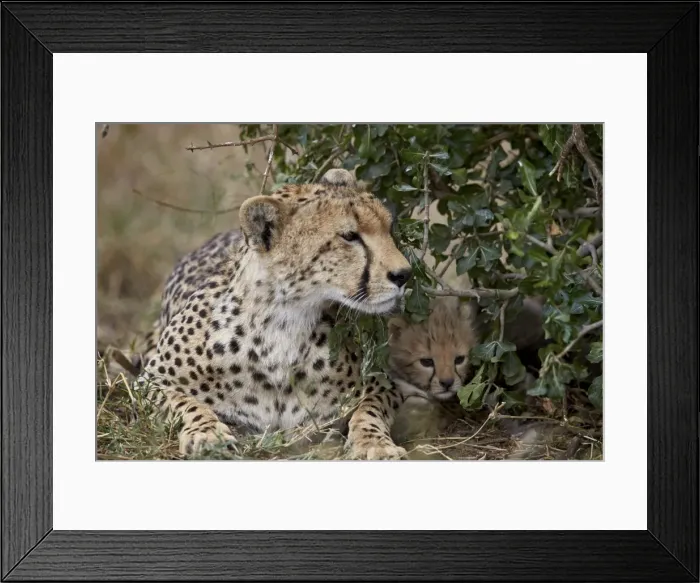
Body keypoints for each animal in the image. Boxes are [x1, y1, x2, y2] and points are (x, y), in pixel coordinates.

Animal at [134, 168, 414, 460]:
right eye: (349, 236)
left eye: (388, 228)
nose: (404, 274)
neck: (284, 322)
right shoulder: (151, 381)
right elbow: (186, 403)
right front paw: (208, 435)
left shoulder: (381, 384)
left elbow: (369, 410)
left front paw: (375, 444)